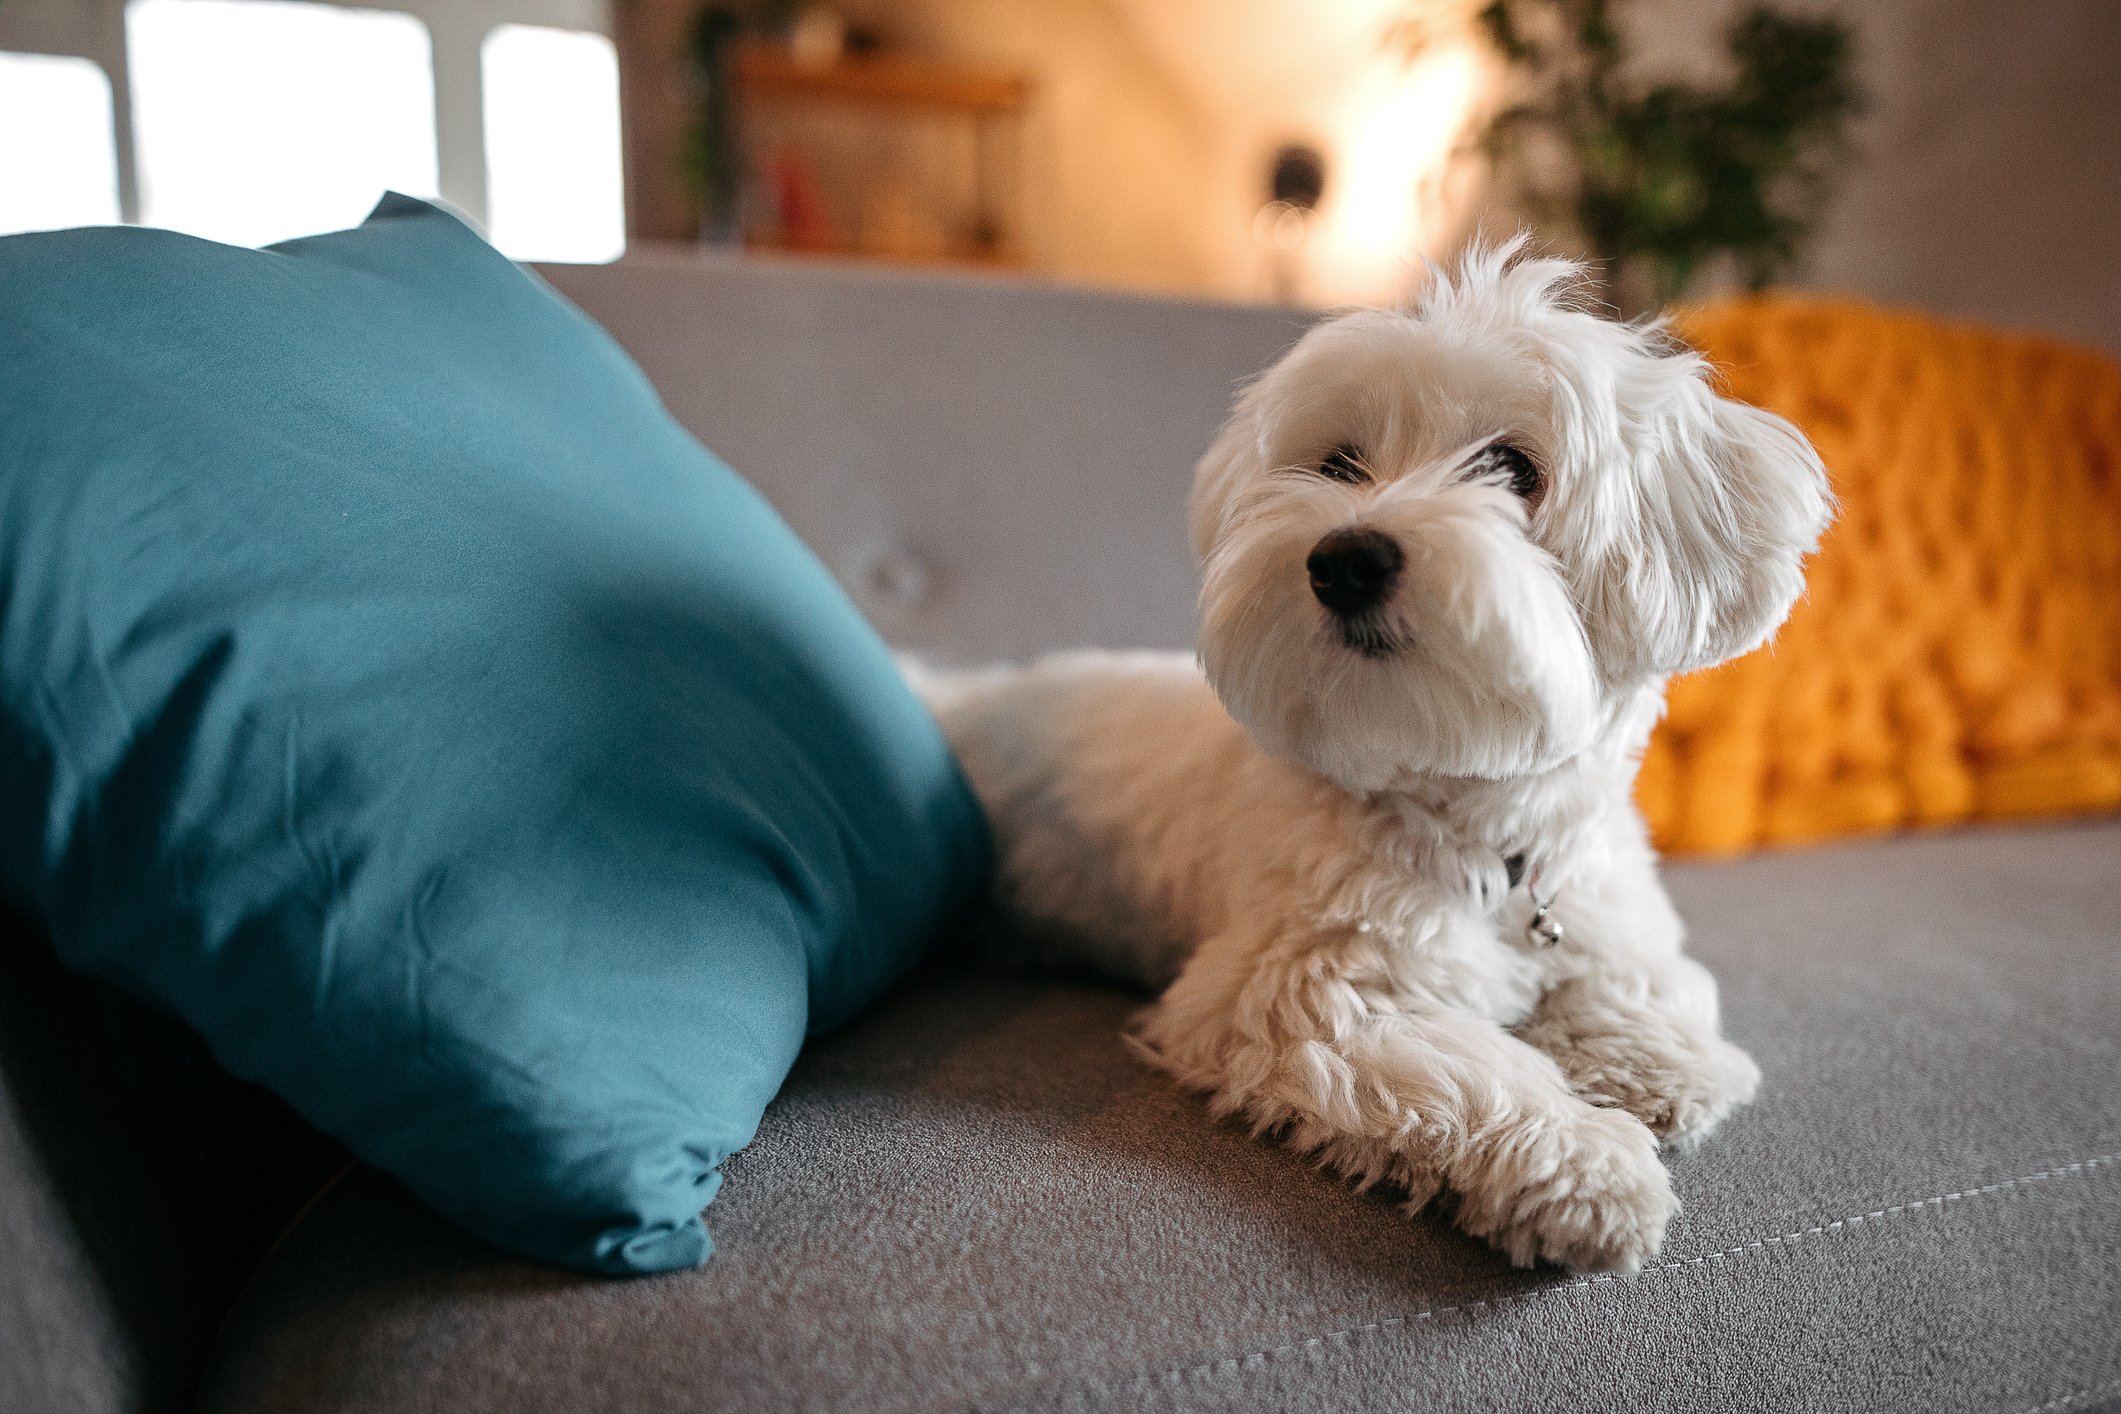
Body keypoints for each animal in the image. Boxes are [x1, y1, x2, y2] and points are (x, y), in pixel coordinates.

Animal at [920, 240, 1832, 1271]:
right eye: (1339, 463)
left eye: (1512, 467)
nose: (1344, 558)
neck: (1481, 832)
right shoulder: (1297, 998)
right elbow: (1475, 1075)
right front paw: (1587, 1166)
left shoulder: (1601, 902)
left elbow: (1641, 978)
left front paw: (1655, 1059)